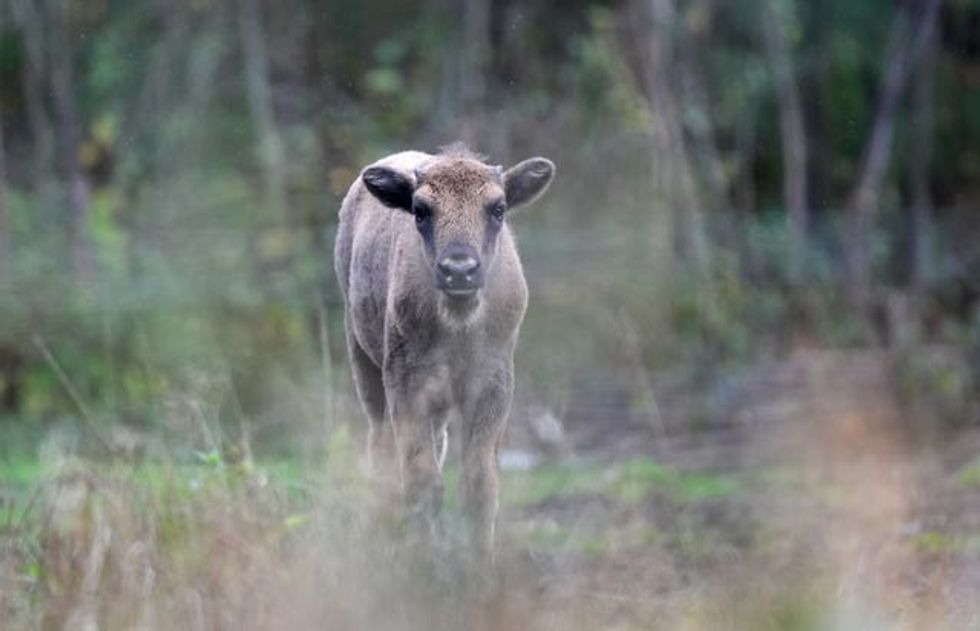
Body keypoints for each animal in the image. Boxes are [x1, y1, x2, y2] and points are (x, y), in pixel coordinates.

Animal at [333, 144, 555, 562]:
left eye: (498, 208)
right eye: (420, 210)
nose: (459, 271)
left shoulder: (491, 387)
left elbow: (478, 484)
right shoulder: (406, 388)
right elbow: (423, 484)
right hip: (365, 368)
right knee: (381, 451)